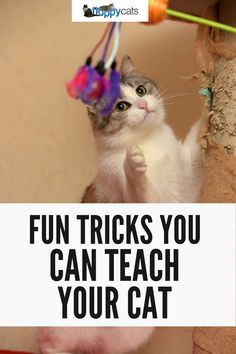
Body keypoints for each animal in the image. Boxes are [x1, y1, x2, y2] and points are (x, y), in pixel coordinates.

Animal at [82, 56, 202, 205]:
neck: (147, 138)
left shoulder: (187, 180)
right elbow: (141, 193)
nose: (143, 104)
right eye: (121, 106)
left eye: (140, 90)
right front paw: (132, 165)